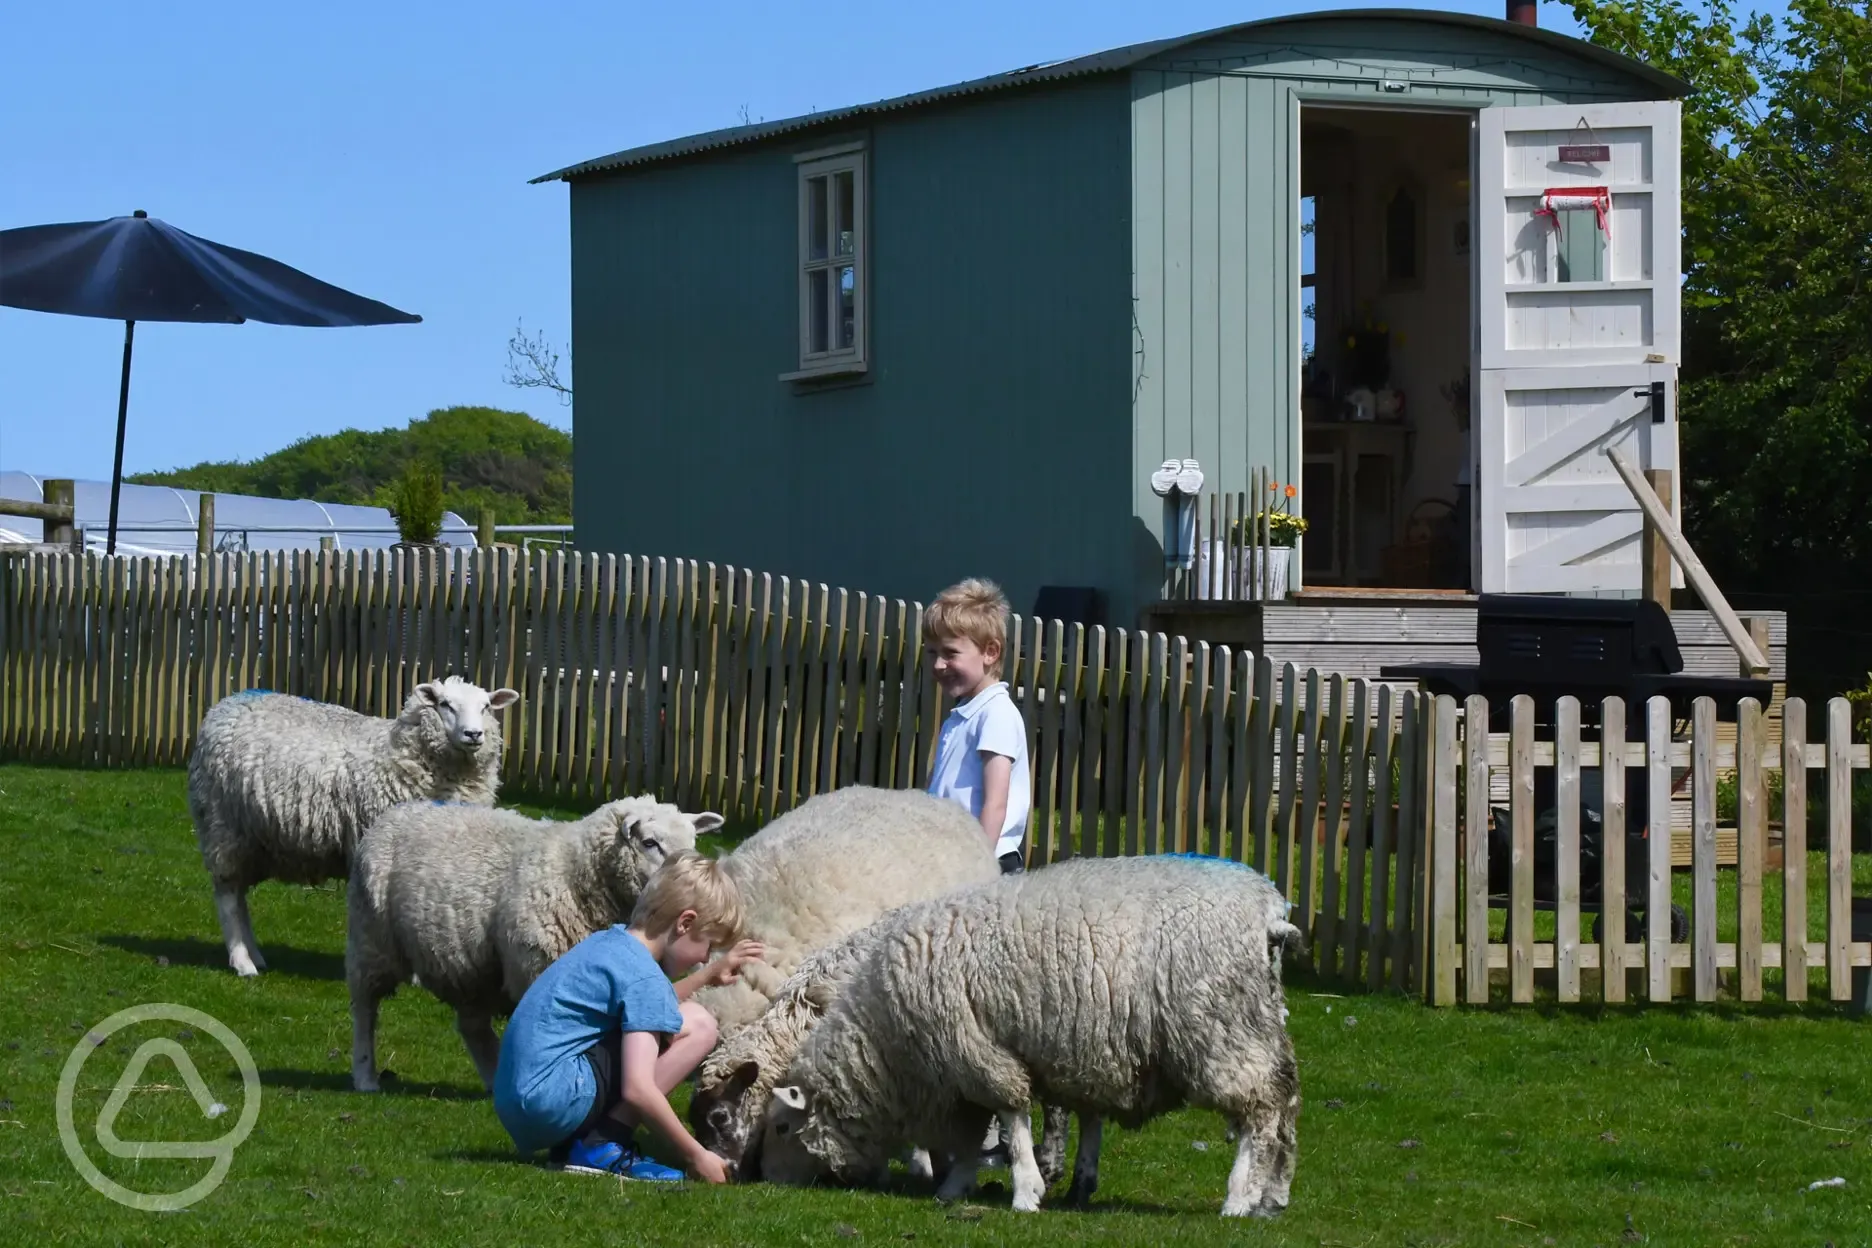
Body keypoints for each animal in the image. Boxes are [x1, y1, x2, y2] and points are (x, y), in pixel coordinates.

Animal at [188, 677, 520, 980]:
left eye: (486, 706)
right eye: (445, 704)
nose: (474, 734)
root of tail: (228, 703)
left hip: (253, 842)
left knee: (240, 898)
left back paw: (255, 955)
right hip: (223, 828)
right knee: (228, 897)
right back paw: (243, 963)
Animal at [348, 789, 718, 1092]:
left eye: (692, 840)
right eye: (650, 842)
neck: (575, 871)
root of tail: (398, 811)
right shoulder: (538, 966)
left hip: (474, 968)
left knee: (472, 1025)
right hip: (371, 939)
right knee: (365, 1007)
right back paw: (365, 1077)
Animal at [756, 853, 1302, 1212]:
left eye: (781, 1126)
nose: (762, 1180)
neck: (887, 1045)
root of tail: (1268, 911)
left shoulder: (978, 1052)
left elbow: (1011, 1118)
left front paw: (1024, 1192)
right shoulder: (967, 1071)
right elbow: (978, 1136)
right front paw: (958, 1185)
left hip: (1220, 1028)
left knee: (1259, 1113)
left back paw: (1239, 1198)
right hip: (1259, 1020)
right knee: (1286, 1104)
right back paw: (1273, 1195)